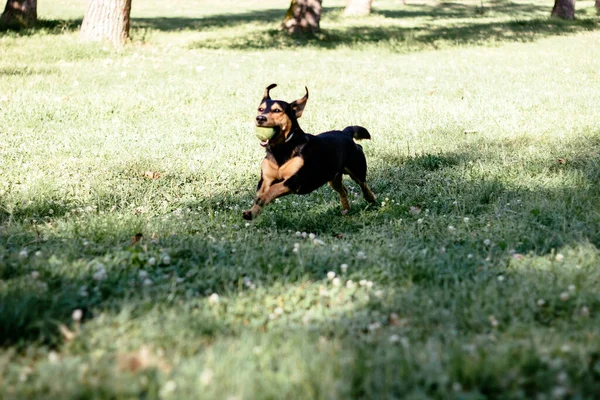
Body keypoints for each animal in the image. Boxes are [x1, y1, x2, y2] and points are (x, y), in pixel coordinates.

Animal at [243, 84, 376, 220]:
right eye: (260, 109)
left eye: (277, 110)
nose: (260, 118)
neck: (281, 149)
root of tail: (345, 132)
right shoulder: (265, 179)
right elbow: (263, 191)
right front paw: (252, 211)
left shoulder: (294, 181)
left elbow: (273, 189)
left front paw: (261, 199)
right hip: (333, 177)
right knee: (344, 190)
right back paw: (346, 210)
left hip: (356, 169)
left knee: (363, 184)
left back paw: (371, 199)